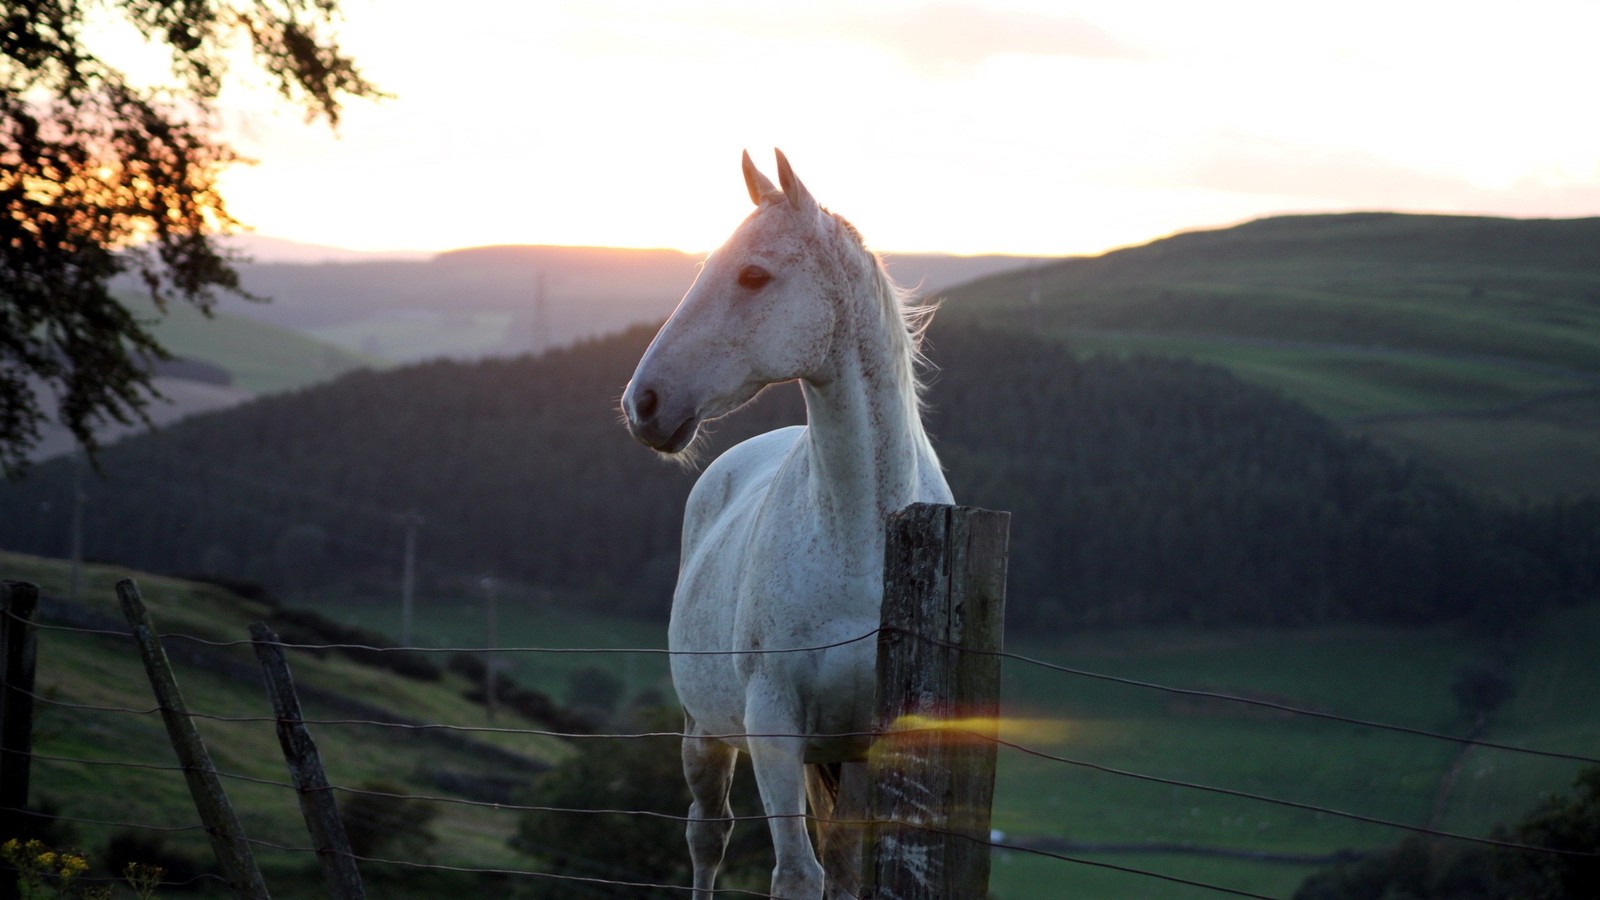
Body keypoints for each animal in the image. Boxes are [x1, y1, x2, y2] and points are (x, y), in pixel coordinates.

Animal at [617, 150, 947, 890]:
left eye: (753, 274)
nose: (642, 403)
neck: (861, 538)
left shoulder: (868, 745)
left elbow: (846, 875)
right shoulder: (771, 726)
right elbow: (796, 875)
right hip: (706, 733)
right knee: (707, 835)